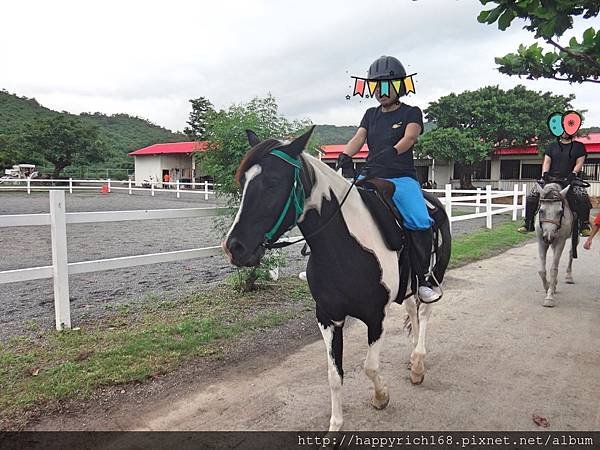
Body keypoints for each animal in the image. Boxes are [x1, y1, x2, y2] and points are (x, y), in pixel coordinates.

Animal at [223, 125, 448, 428]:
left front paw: (381, 397)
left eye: (272, 182)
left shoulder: (376, 316)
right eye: (242, 182)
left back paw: (418, 364)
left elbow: (369, 367)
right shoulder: (328, 317)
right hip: (407, 285)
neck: (344, 247)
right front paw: (335, 426)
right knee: (412, 310)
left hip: (432, 276)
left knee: (424, 313)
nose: (235, 248)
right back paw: (412, 359)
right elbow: (334, 376)